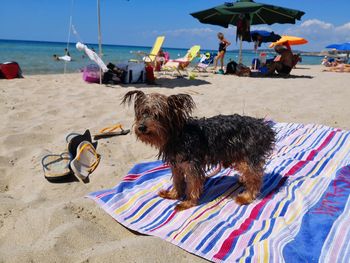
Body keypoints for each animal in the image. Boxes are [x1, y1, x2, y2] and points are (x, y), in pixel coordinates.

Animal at [123, 91, 276, 212]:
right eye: (142, 114)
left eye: (157, 116)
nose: (141, 127)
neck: (177, 136)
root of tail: (264, 128)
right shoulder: (176, 164)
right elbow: (177, 181)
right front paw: (173, 195)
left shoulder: (192, 166)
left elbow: (193, 185)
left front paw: (188, 203)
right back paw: (243, 180)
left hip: (248, 155)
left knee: (256, 177)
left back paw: (247, 197)